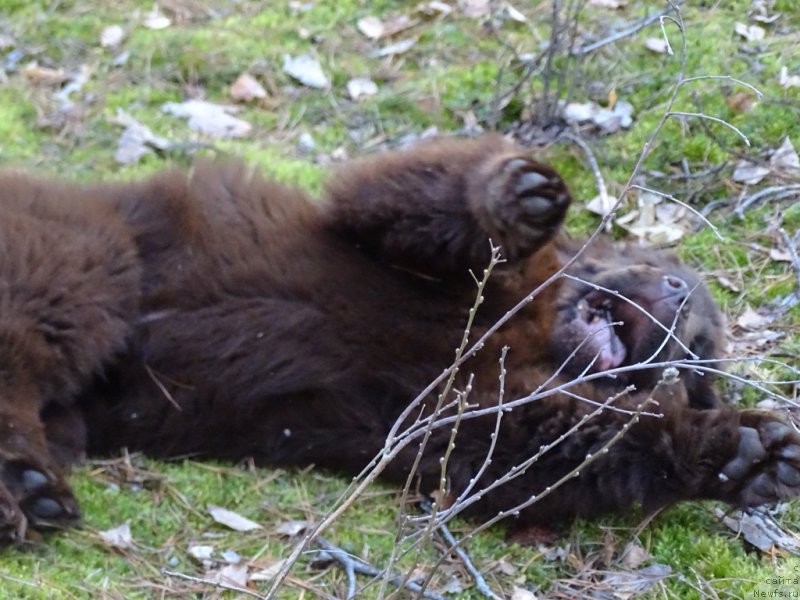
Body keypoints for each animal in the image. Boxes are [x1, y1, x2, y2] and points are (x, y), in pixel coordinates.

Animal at [1, 135, 800, 544]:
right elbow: (405, 202)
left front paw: (749, 455)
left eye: (697, 353)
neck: (531, 331)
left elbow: (554, 451)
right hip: (86, 252)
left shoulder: (465, 410)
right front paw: (521, 194)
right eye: (668, 274)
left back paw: (29, 490)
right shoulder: (402, 247)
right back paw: (23, 489)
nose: (677, 299)